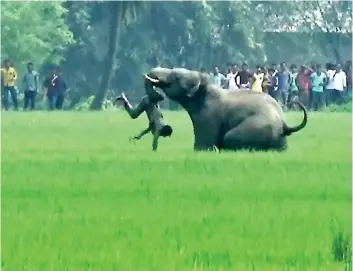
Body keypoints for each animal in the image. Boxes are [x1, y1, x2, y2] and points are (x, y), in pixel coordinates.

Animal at [142, 67, 306, 152]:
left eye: (175, 77)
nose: (157, 96)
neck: (204, 87)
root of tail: (285, 125)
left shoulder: (208, 116)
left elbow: (203, 145)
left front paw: (201, 149)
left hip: (257, 127)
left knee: (229, 137)